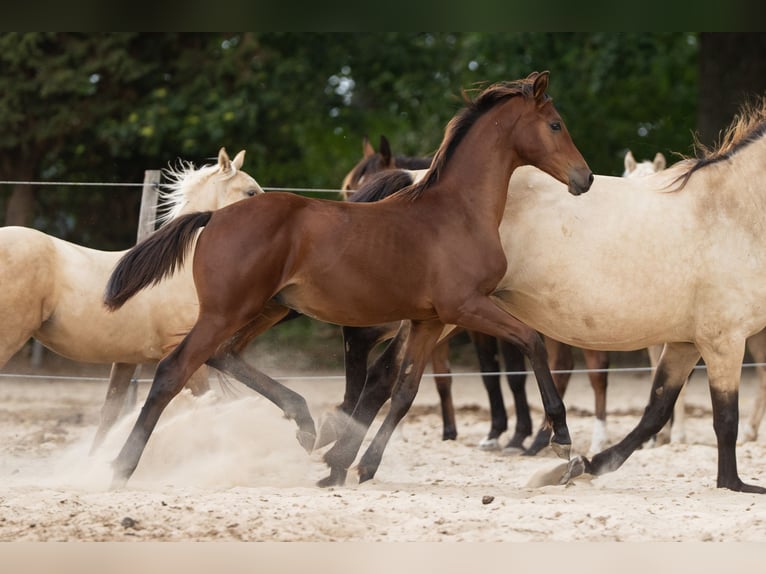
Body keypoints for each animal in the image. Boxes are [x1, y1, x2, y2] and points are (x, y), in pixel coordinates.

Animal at [103, 71, 593, 488]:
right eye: (555, 124)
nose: (584, 178)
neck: (458, 211)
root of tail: (214, 216)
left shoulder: (429, 320)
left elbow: (403, 392)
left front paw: (360, 465)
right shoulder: (466, 306)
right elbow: (531, 341)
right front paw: (562, 437)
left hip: (267, 309)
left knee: (225, 356)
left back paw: (305, 422)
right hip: (228, 311)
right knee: (173, 371)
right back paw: (119, 468)